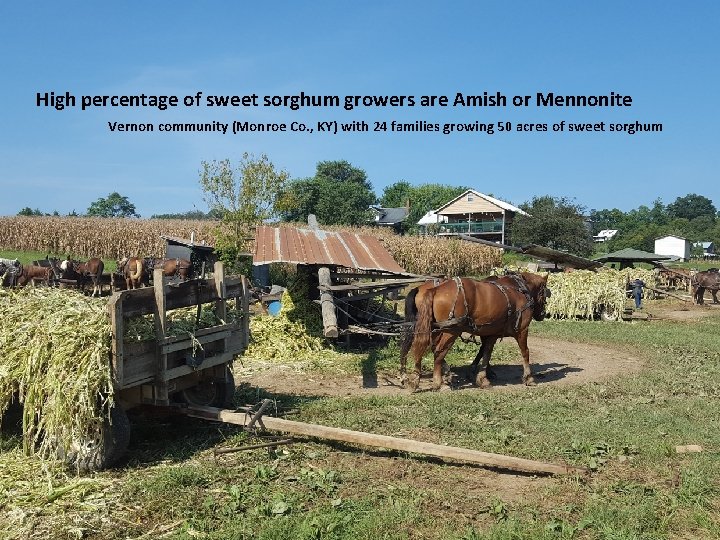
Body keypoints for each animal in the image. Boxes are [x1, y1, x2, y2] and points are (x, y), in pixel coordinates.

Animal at [408, 272, 548, 390]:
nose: (544, 314)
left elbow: (486, 353)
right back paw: (438, 381)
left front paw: (482, 378)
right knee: (439, 352)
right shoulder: (522, 330)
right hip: (451, 331)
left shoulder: (492, 333)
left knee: (423, 346)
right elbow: (525, 352)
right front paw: (529, 378)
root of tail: (435, 289)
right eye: (544, 293)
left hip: (434, 328)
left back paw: (416, 378)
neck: (519, 289)